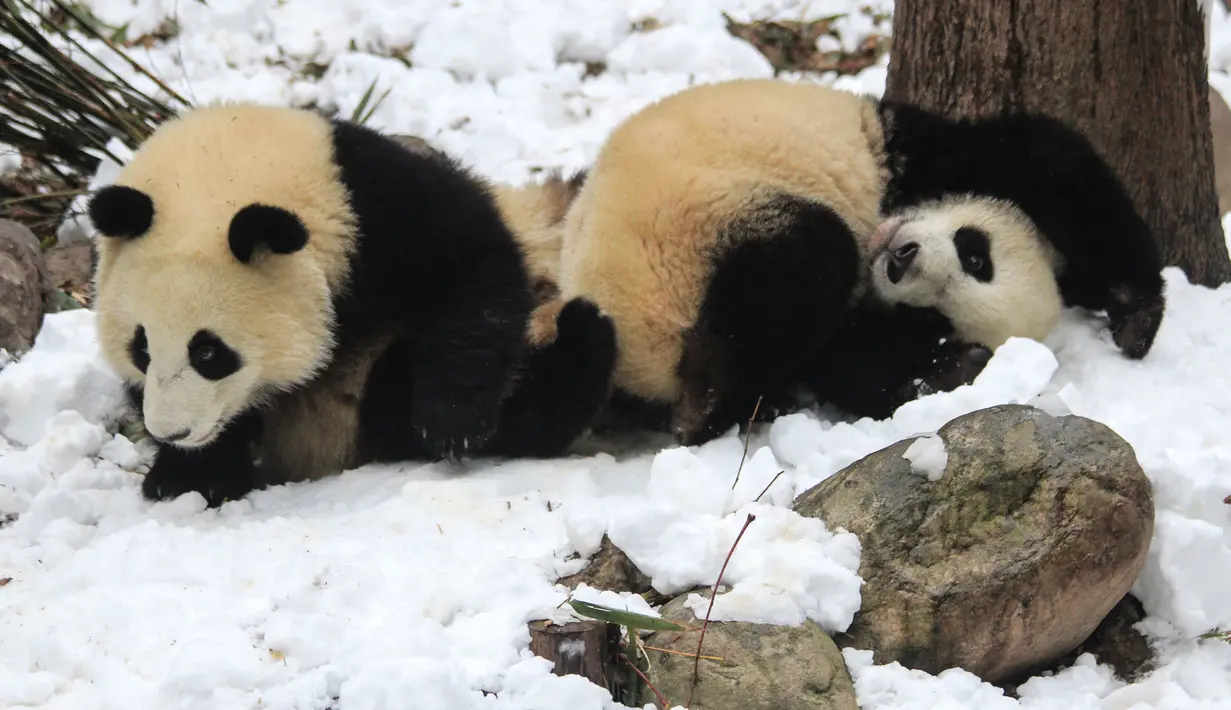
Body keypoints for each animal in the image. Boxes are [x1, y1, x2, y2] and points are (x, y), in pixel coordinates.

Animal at [89, 102, 614, 507]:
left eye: (208, 352)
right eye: (141, 348)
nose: (171, 432)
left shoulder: (373, 203)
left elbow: (473, 272)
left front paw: (452, 422)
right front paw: (190, 476)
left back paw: (584, 338)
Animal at [557, 78, 1164, 444]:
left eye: (934, 318)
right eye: (976, 255)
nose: (901, 262)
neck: (887, 214)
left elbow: (851, 362)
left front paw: (953, 372)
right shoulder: (922, 153)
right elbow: (1054, 165)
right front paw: (1136, 315)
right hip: (691, 225)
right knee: (809, 259)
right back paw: (707, 400)